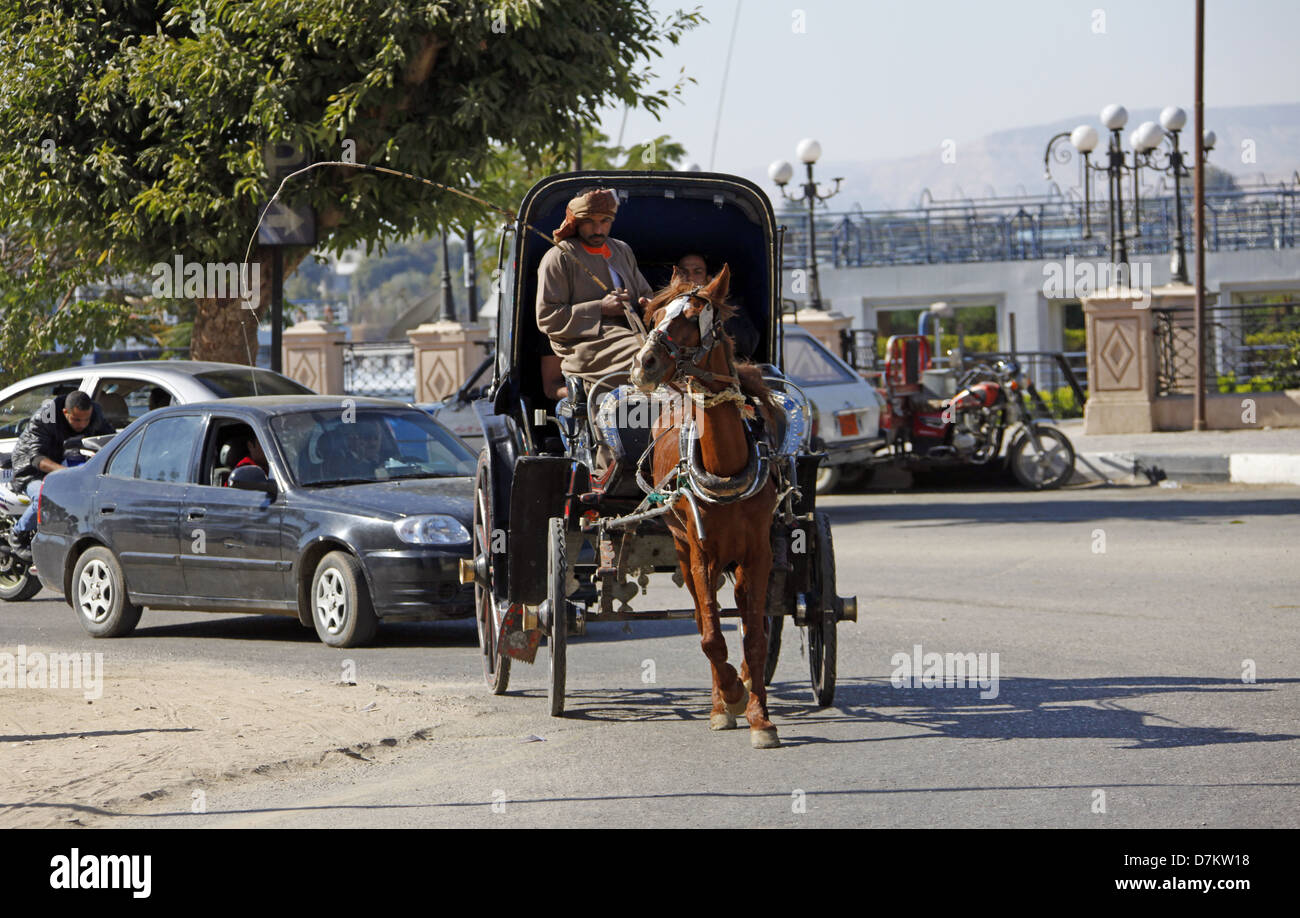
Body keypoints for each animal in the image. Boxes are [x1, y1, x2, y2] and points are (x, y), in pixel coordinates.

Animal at [629, 261, 780, 748]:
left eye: (693, 317)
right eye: (657, 317)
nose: (644, 364)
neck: (726, 465)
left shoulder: (759, 552)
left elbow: (755, 635)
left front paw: (760, 717)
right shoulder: (699, 551)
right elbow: (711, 636)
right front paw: (730, 698)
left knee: (746, 618)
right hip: (683, 547)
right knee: (702, 618)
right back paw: (721, 702)